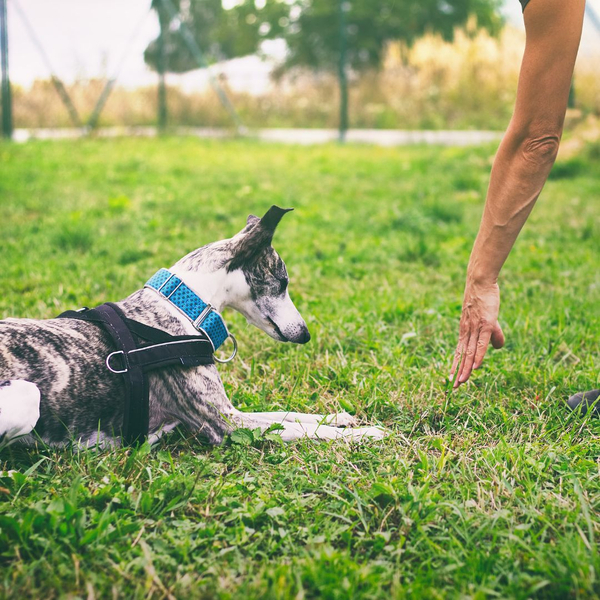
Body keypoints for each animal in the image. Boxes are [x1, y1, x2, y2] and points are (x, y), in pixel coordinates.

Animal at [0, 206, 384, 446]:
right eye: (283, 281)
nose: (305, 334)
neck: (183, 305)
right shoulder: (225, 423)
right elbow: (299, 429)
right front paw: (365, 435)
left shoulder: (230, 410)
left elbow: (286, 413)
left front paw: (338, 417)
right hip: (28, 396)